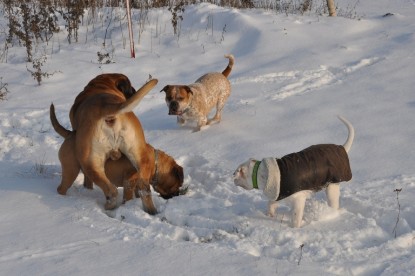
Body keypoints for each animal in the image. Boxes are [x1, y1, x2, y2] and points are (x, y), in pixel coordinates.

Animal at [50, 104, 184, 215]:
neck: (154, 164)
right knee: (62, 188)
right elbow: (128, 196)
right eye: (177, 184)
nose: (178, 194)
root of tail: (70, 134)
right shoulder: (129, 181)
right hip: (71, 170)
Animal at [53, 73, 159, 209]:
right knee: (143, 187)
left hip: (90, 162)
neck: (101, 85)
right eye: (130, 87)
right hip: (139, 154)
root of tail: (107, 107)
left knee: (110, 190)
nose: (134, 90)